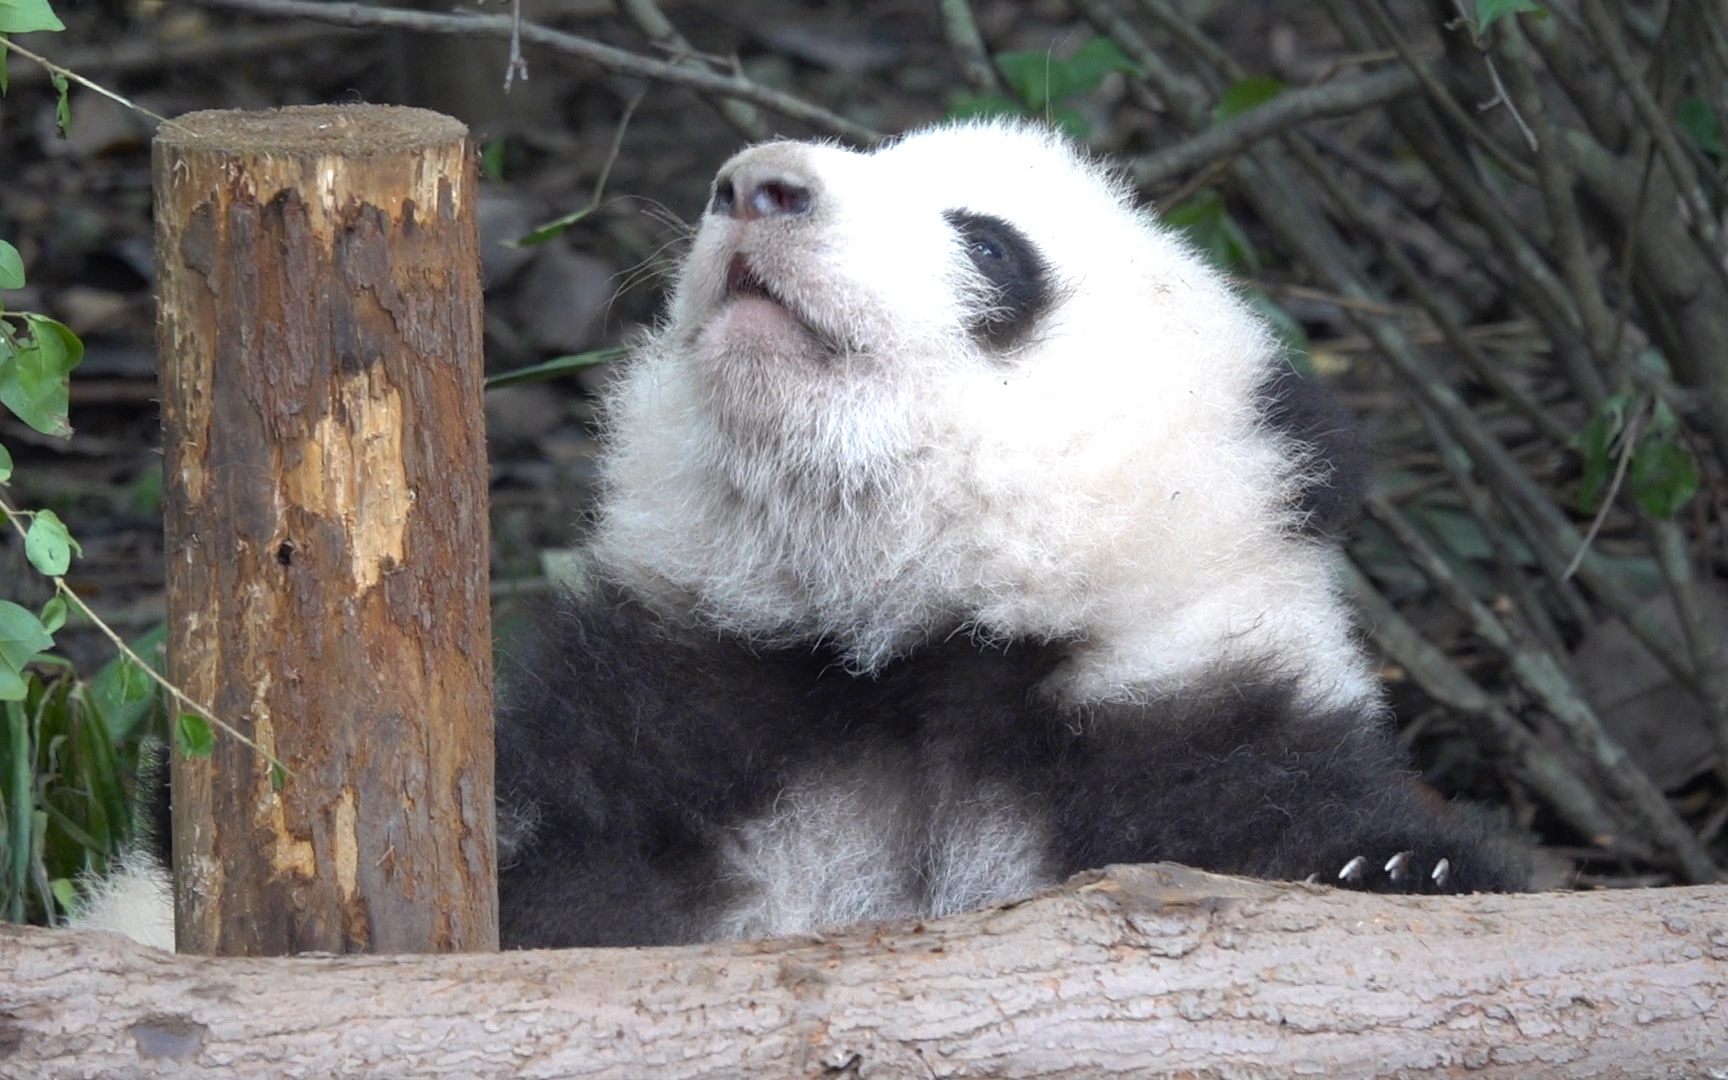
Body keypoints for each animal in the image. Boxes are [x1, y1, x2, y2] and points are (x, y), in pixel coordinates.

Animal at [74, 117, 1520, 953]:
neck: (899, 660)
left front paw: (1397, 870)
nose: (756, 186)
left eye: (988, 243)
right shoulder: (682, 717)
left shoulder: (1172, 733)